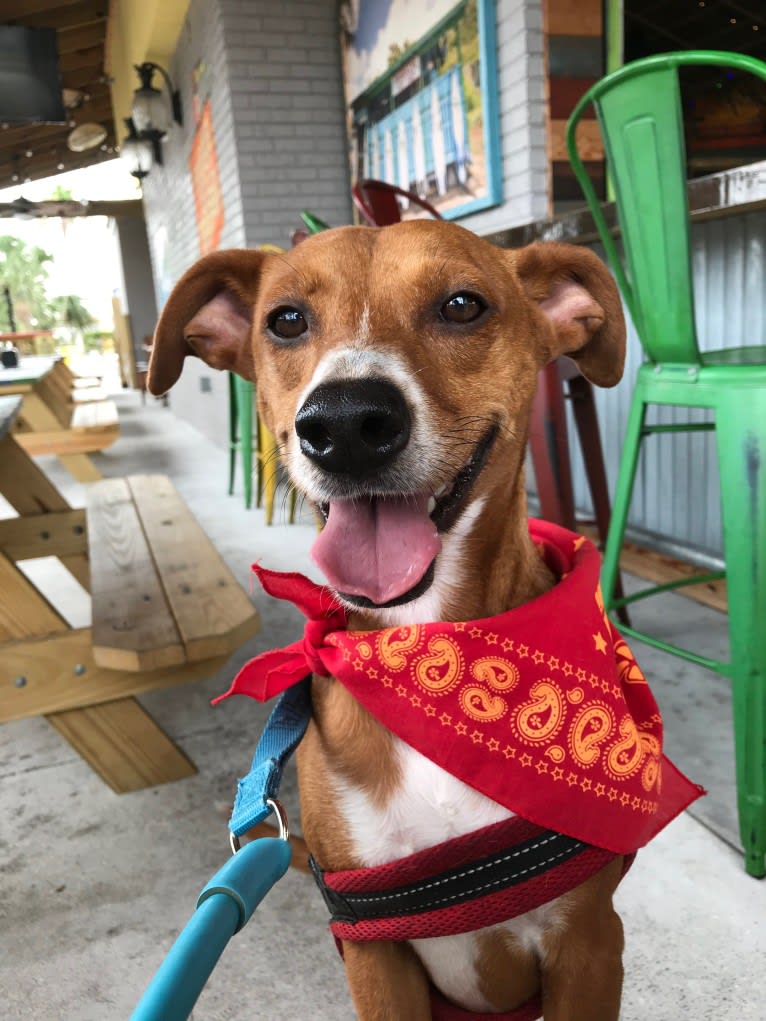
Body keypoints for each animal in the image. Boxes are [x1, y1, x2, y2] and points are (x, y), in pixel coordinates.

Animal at [148, 219, 690, 1016]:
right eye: (286, 320)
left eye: (462, 306)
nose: (345, 423)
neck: (429, 651)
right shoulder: (374, 950)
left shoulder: (589, 943)